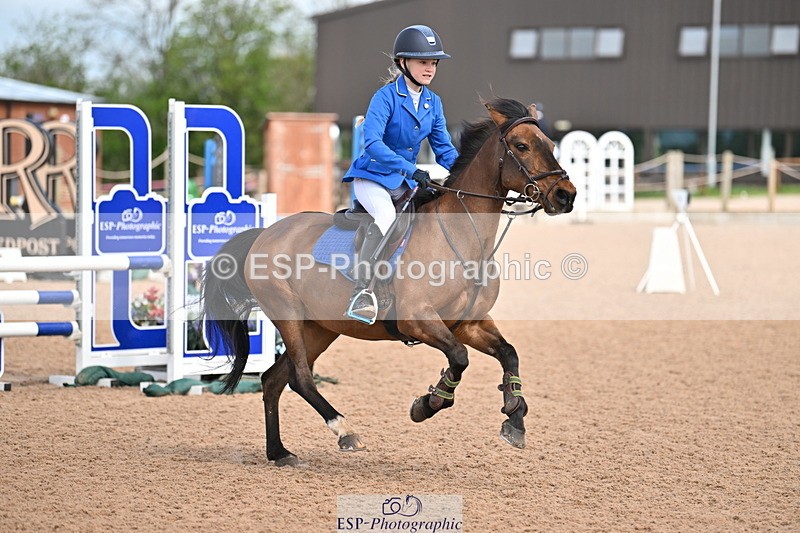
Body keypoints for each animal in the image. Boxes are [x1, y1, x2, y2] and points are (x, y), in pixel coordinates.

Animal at [201, 97, 577, 467]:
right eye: (522, 146)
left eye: (550, 144)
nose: (566, 195)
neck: (462, 237)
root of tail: (266, 233)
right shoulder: (418, 320)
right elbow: (459, 357)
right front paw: (428, 404)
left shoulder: (469, 323)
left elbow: (508, 353)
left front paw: (514, 417)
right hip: (289, 316)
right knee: (300, 377)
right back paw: (344, 431)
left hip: (320, 327)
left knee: (274, 380)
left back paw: (279, 452)